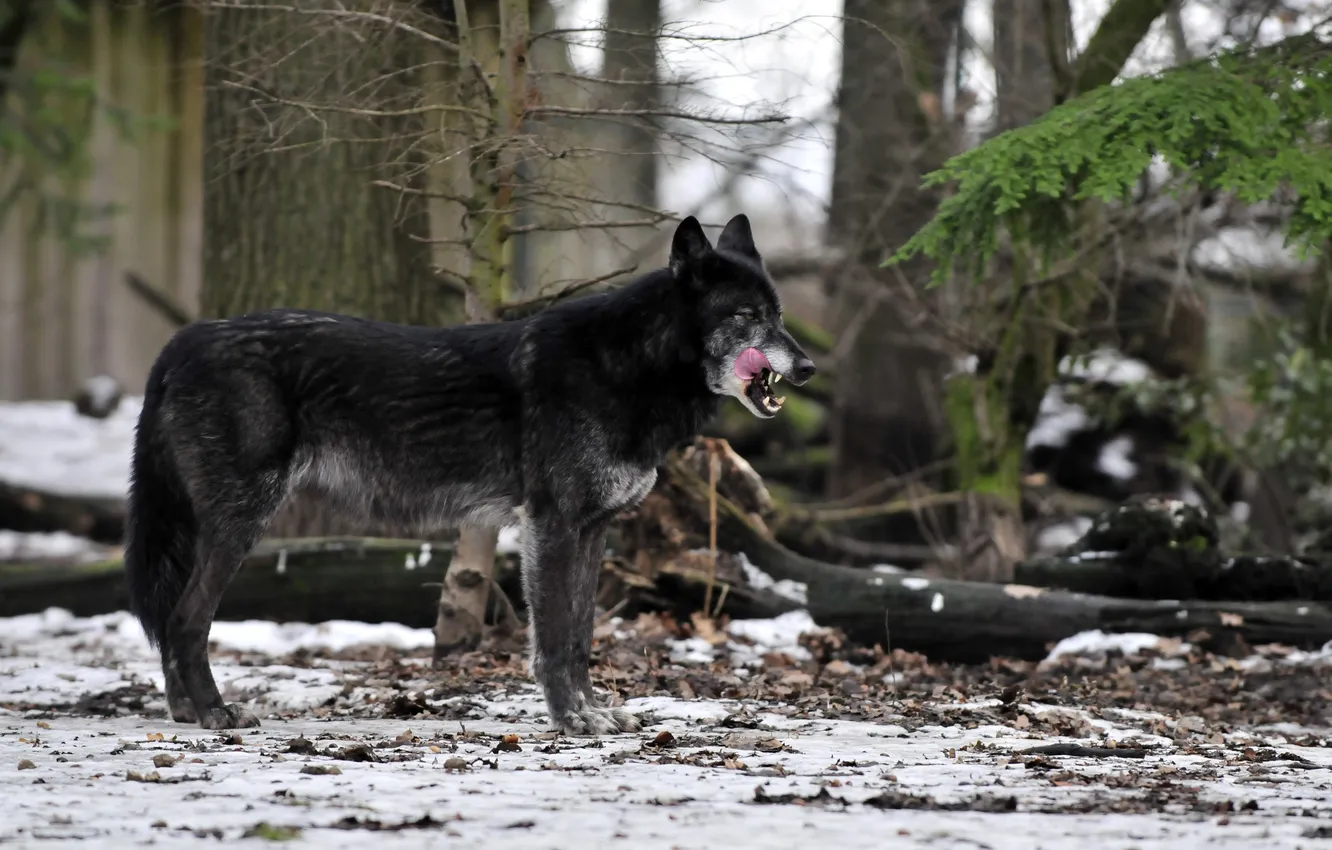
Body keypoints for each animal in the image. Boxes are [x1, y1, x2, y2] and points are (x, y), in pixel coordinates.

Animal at [124, 214, 816, 735]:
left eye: (780, 314)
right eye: (747, 315)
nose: (808, 367)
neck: (624, 366)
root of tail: (180, 342)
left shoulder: (592, 531)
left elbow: (581, 636)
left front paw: (593, 713)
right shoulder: (552, 526)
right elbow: (554, 638)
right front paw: (572, 721)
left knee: (171, 617)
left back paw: (184, 712)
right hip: (241, 523)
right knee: (185, 618)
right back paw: (214, 713)